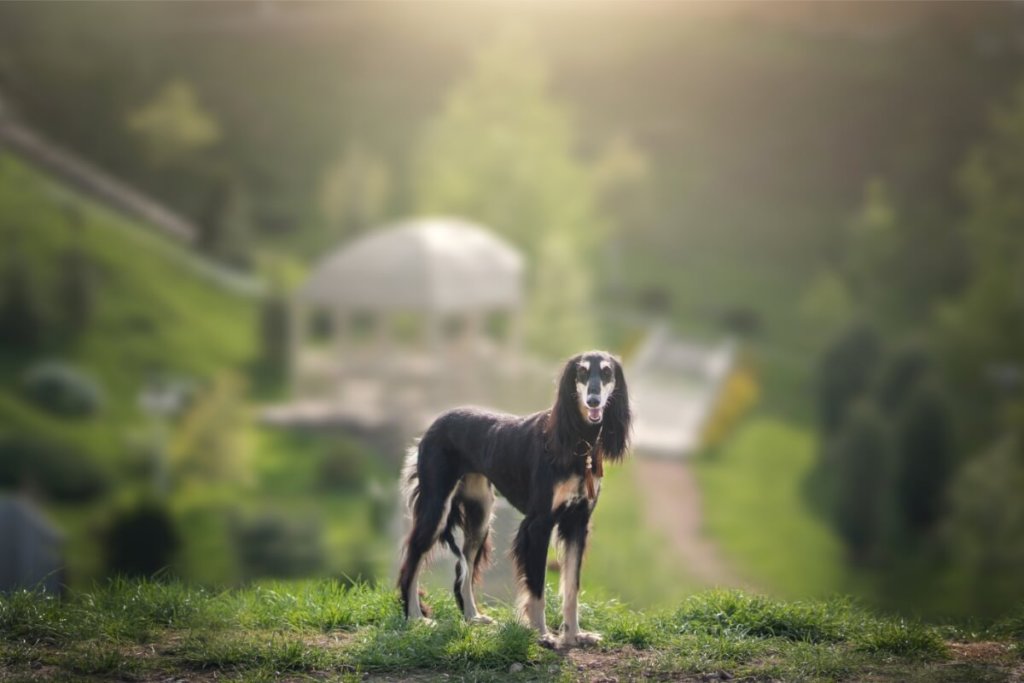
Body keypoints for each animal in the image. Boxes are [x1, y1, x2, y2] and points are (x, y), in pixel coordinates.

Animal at [395, 350, 626, 651]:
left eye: (607, 372)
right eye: (582, 372)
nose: (594, 401)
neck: (577, 442)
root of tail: (434, 423)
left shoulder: (577, 522)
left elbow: (571, 588)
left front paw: (574, 635)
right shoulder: (538, 524)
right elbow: (536, 586)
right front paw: (542, 634)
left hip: (480, 515)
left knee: (464, 568)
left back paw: (473, 616)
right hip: (437, 507)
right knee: (413, 557)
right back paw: (415, 617)